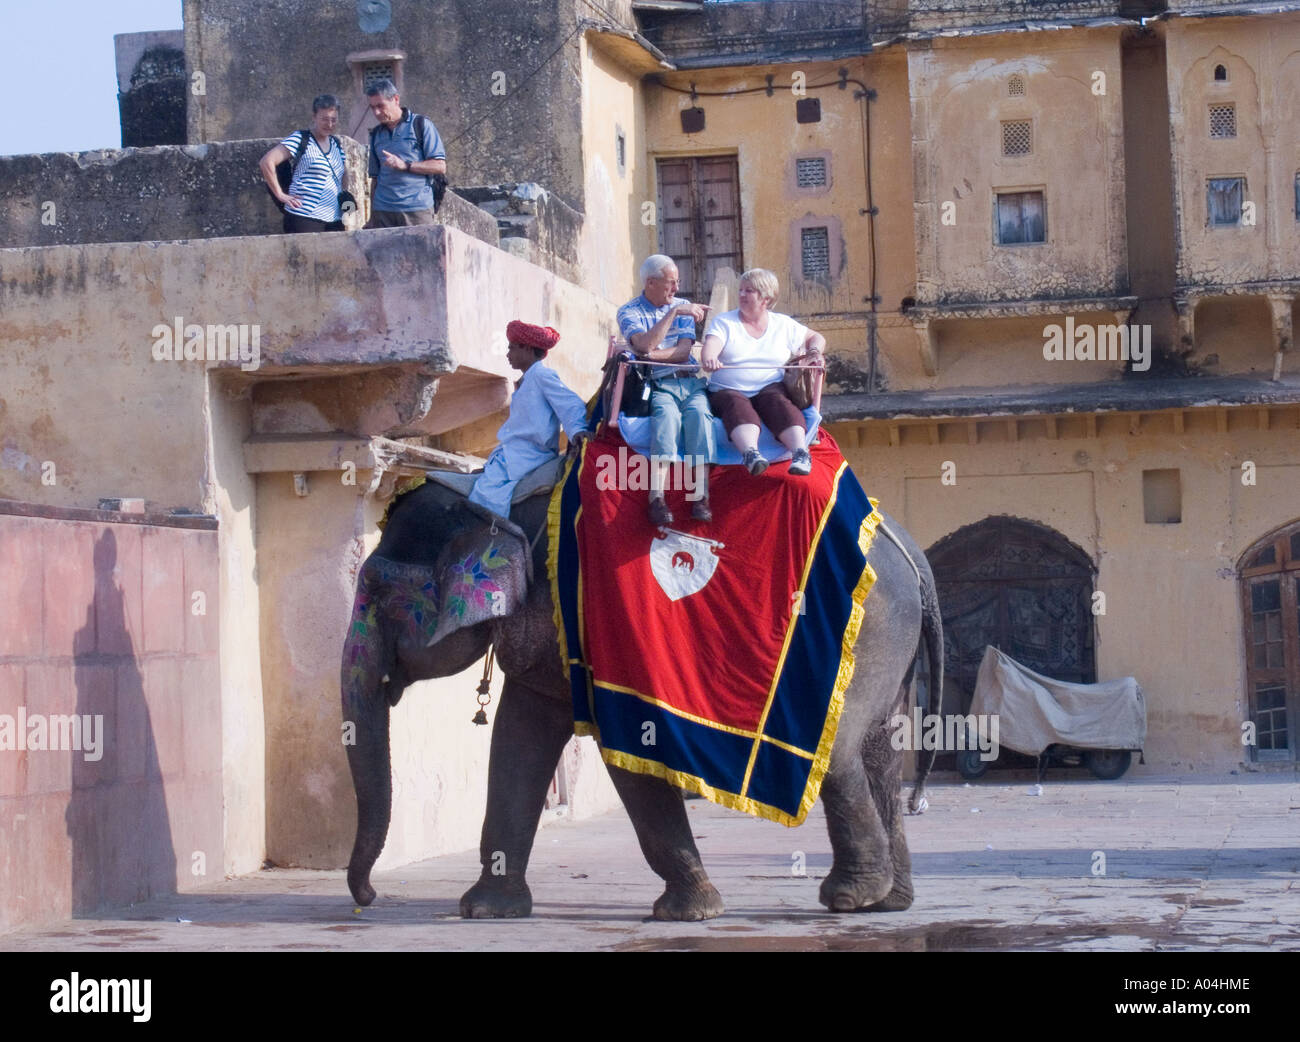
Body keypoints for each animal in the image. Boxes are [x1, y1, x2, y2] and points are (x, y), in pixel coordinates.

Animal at [340, 470, 941, 919]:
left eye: (375, 595)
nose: (368, 898)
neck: (493, 502)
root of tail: (914, 556)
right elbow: (519, 735)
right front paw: (486, 910)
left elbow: (626, 747)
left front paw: (689, 912)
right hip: (891, 641)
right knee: (880, 750)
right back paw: (890, 903)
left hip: (859, 631)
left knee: (838, 751)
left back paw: (849, 898)